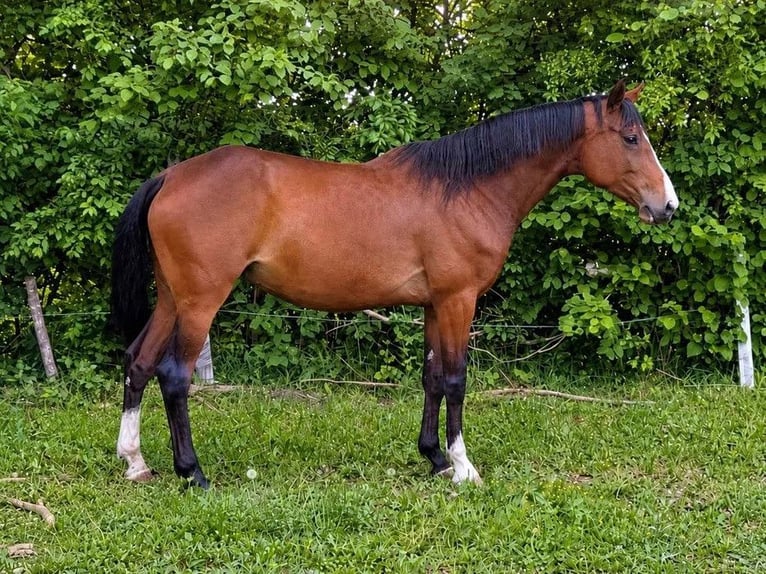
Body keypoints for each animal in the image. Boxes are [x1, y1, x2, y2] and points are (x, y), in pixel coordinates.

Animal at [110, 80, 678, 488]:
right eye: (631, 139)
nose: (667, 205)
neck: (466, 188)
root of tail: (171, 175)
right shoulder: (458, 300)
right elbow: (456, 379)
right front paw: (463, 468)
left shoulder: (433, 304)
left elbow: (432, 378)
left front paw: (435, 458)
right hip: (200, 301)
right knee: (174, 376)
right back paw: (193, 473)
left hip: (173, 298)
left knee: (138, 363)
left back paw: (136, 462)